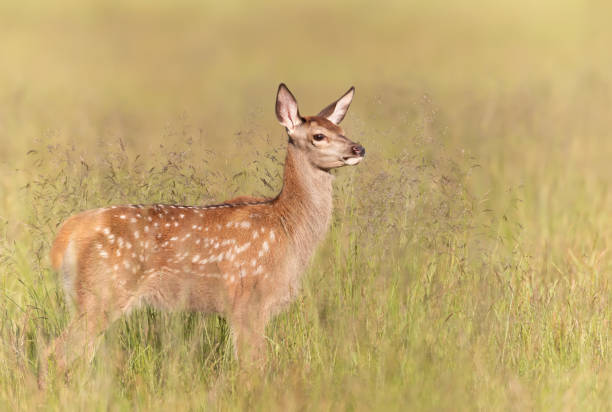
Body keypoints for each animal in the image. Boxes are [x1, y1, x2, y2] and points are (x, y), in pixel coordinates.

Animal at [40, 83, 366, 386]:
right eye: (319, 136)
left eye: (342, 129)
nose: (358, 149)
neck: (286, 227)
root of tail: (69, 232)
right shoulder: (248, 300)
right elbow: (252, 366)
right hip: (102, 291)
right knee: (58, 351)